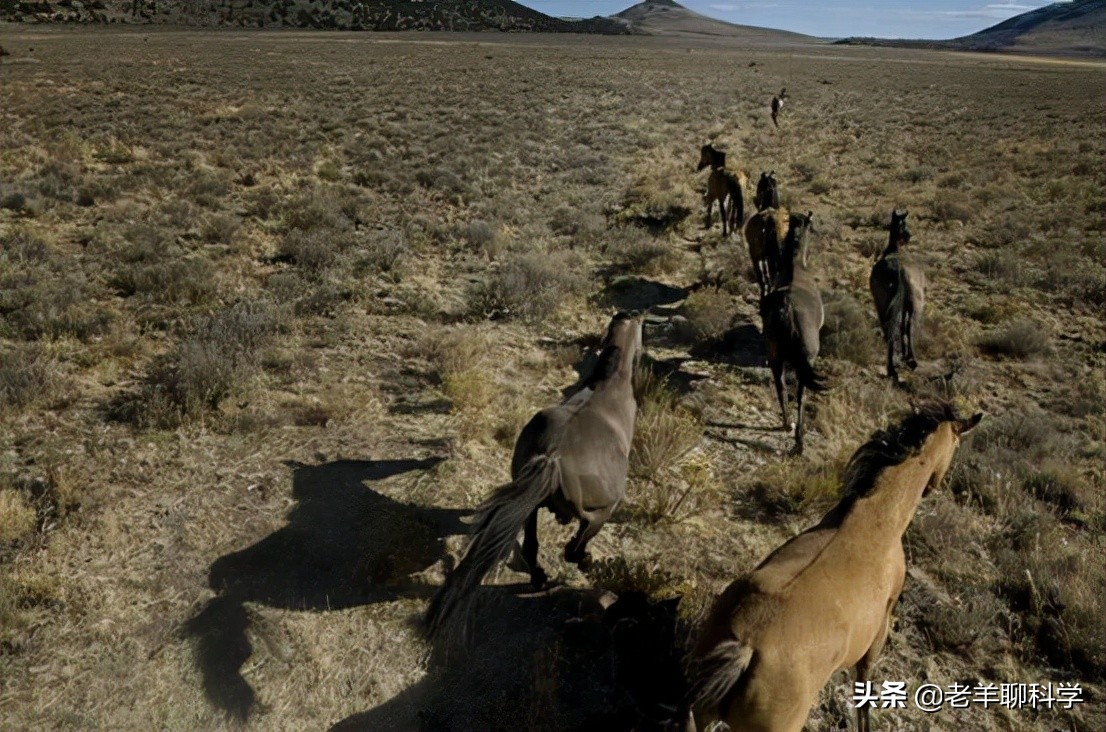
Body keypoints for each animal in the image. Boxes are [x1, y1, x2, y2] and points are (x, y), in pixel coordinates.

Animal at [424, 312, 644, 638]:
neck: (610, 384)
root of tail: (554, 455)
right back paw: (579, 564)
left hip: (529, 504)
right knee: (572, 548)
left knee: (531, 546)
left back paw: (539, 576)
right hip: (600, 511)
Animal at [687, 404, 983, 732]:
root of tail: (747, 647)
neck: (876, 521)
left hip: (697, 716)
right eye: (957, 444)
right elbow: (864, 688)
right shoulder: (880, 630)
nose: (936, 486)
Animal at [759, 212, 824, 455]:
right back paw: (799, 442)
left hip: (775, 357)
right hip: (804, 361)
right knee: (800, 395)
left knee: (781, 387)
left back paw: (787, 425)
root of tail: (787, 308)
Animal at [869, 210, 925, 382]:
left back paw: (893, 368)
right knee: (906, 327)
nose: (908, 236)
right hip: (911, 305)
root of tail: (900, 271)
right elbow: (904, 328)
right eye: (903, 223)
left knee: (891, 329)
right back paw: (909, 362)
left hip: (884, 305)